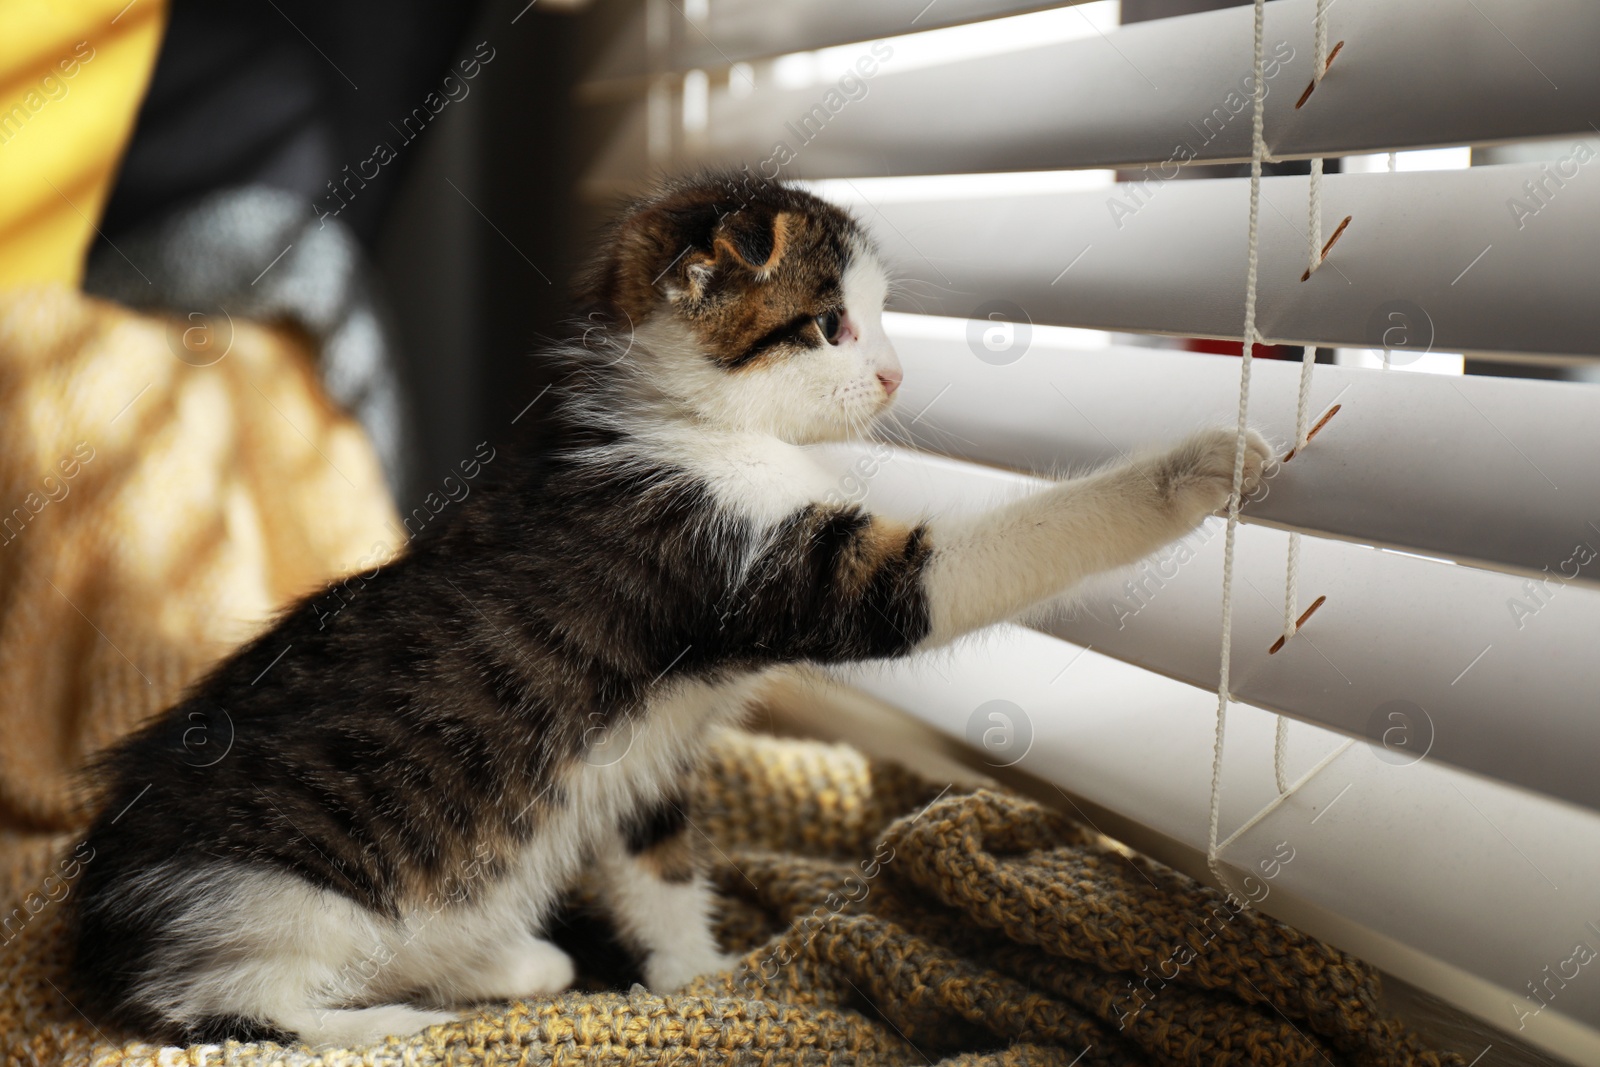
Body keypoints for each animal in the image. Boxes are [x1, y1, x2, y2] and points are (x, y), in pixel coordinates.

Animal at [68, 175, 1267, 1049]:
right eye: (829, 325)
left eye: (878, 320)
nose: (894, 375)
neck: (692, 428)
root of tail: (102, 907)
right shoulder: (775, 566)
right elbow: (986, 555)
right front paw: (1200, 467)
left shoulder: (642, 758)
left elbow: (655, 860)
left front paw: (697, 973)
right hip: (276, 891)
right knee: (211, 1008)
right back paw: (386, 1021)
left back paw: (515, 958)